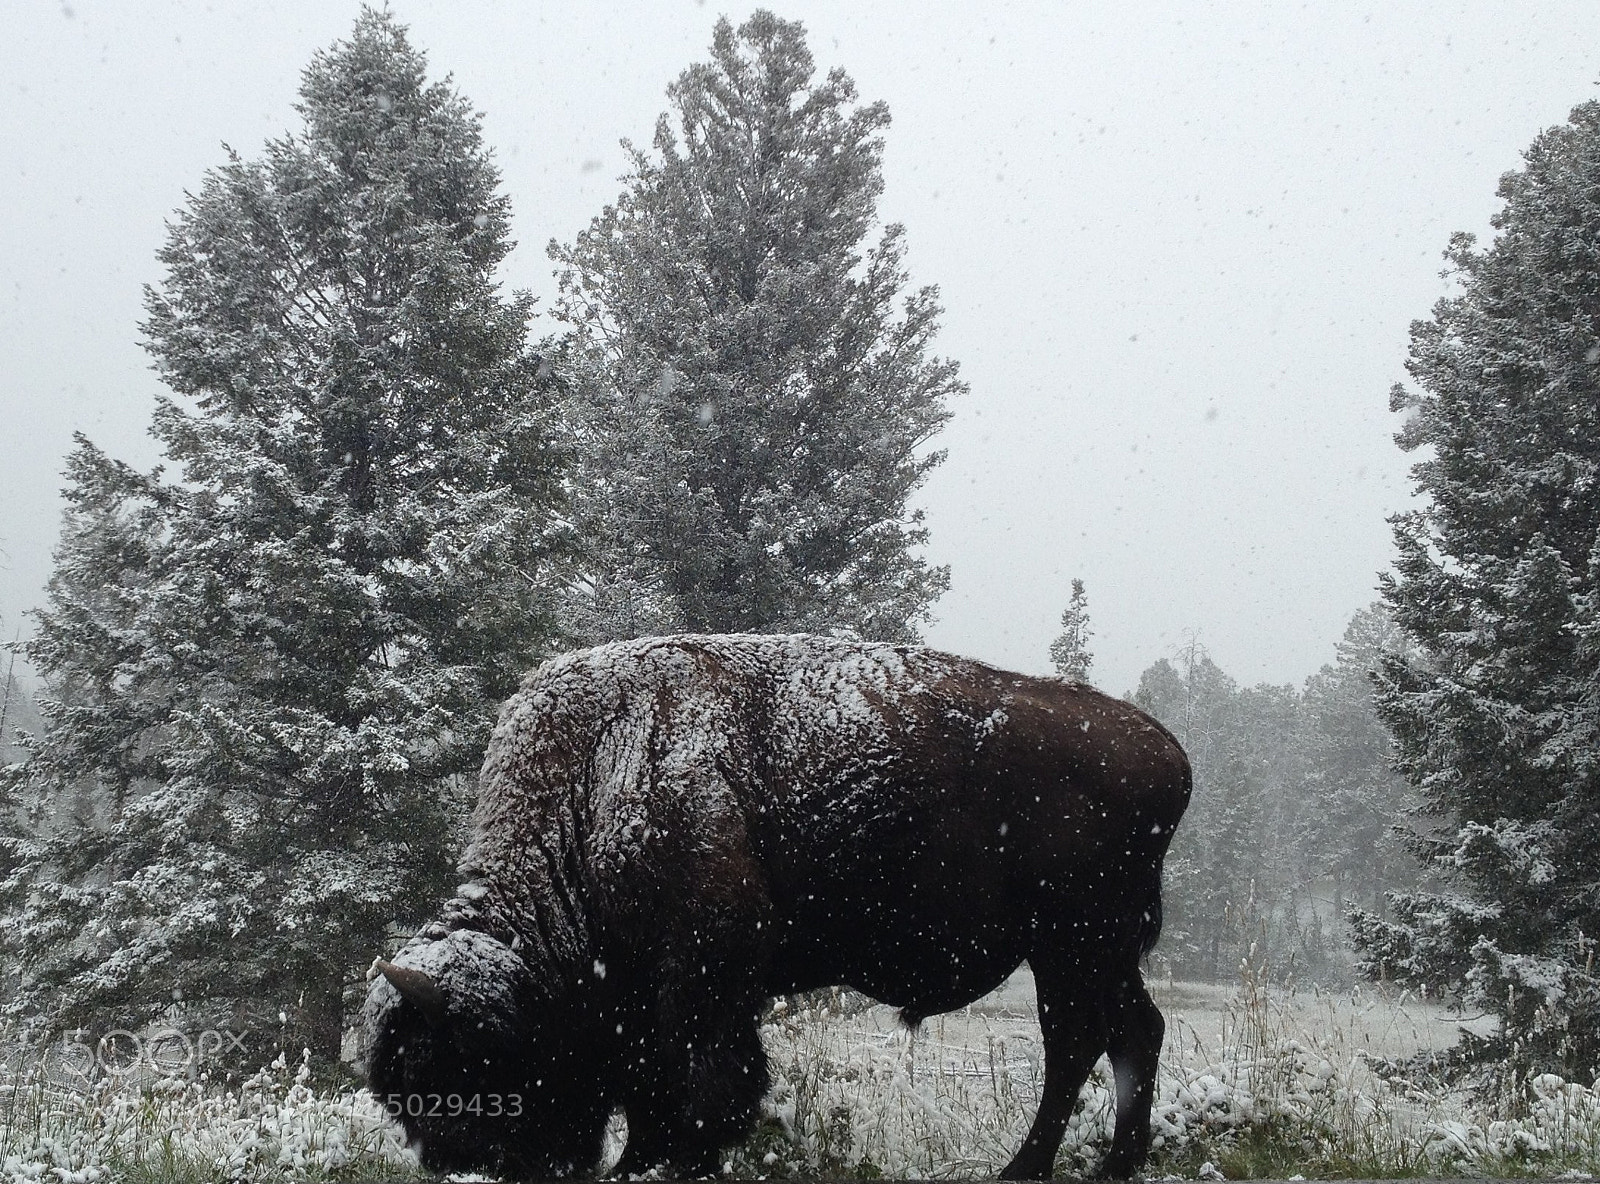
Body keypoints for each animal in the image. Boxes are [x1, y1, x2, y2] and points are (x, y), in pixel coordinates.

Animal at [364, 633, 1190, 1178]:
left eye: (451, 1070)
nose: (458, 1166)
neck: (594, 777)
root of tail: (1164, 749)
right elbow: (655, 1081)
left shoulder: (706, 969)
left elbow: (701, 1077)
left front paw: (672, 1162)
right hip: (1089, 951)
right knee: (1129, 1032)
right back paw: (1112, 1166)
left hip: (1075, 943)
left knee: (1079, 1041)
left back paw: (1029, 1169)